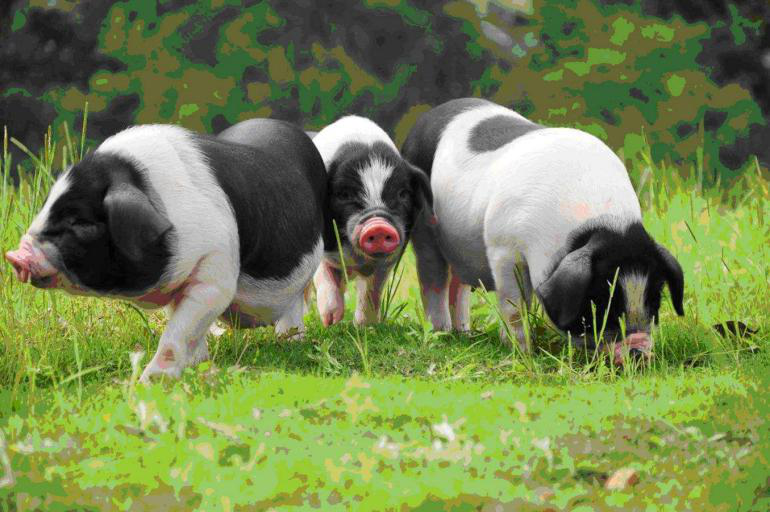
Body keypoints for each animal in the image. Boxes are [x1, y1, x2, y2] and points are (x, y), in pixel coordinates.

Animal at [6, 121, 326, 380]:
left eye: (80, 222)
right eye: (47, 206)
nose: (14, 255)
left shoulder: (214, 272)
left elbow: (177, 333)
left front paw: (149, 382)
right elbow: (188, 330)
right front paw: (198, 364)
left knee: (299, 301)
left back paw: (291, 340)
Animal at [310, 115, 432, 324]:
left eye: (402, 194)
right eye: (344, 194)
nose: (378, 226)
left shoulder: (388, 259)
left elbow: (372, 289)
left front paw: (366, 325)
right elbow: (325, 274)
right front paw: (330, 320)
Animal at [400, 99, 680, 364]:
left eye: (655, 301)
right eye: (600, 305)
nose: (638, 353)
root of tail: (425, 119)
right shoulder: (504, 248)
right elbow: (514, 306)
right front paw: (524, 353)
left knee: (459, 286)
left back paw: (465, 333)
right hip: (424, 228)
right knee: (433, 277)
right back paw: (441, 333)